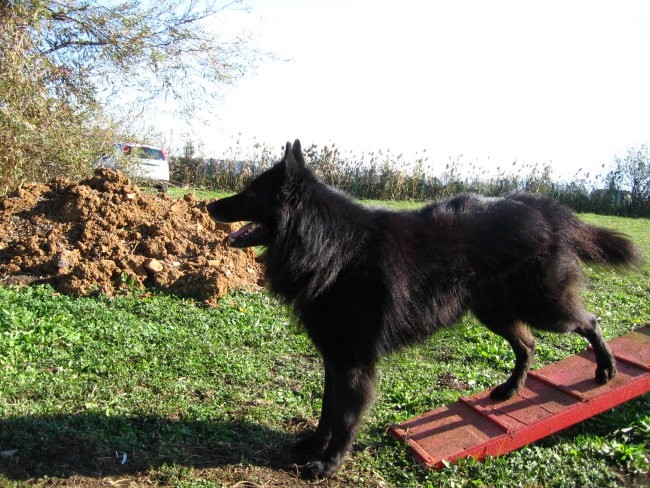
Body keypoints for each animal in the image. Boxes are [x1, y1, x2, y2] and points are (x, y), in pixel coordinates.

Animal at [206, 139, 636, 478]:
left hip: (542, 306)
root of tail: (543, 208)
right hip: (494, 312)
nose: (210, 207)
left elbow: (344, 416)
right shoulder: (334, 355)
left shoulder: (354, 361)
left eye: (250, 193)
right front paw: (314, 446)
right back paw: (509, 390)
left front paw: (328, 463)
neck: (329, 246)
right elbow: (328, 409)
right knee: (527, 344)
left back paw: (606, 369)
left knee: (589, 321)